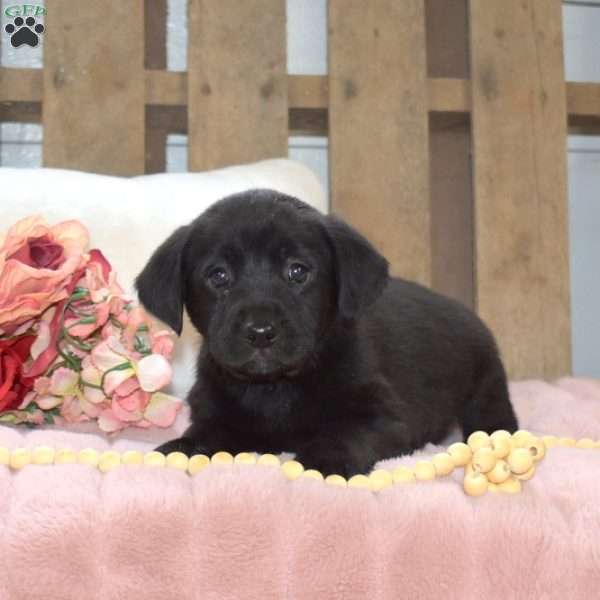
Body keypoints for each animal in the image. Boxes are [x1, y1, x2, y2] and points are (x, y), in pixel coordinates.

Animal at [135, 190, 516, 476]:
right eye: (218, 276)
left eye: (297, 271)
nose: (260, 332)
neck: (274, 388)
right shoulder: (216, 413)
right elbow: (203, 436)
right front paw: (179, 449)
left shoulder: (384, 418)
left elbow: (345, 434)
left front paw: (322, 459)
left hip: (486, 385)